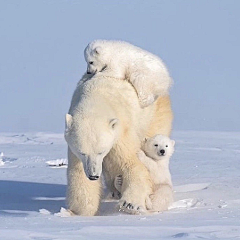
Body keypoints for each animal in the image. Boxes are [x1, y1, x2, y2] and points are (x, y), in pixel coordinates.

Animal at [63, 73, 172, 216]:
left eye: (101, 151)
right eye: (82, 152)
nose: (93, 175)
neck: (95, 97)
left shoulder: (121, 131)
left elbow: (131, 163)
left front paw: (130, 205)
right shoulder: (74, 149)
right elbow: (79, 171)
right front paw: (78, 211)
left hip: (153, 115)